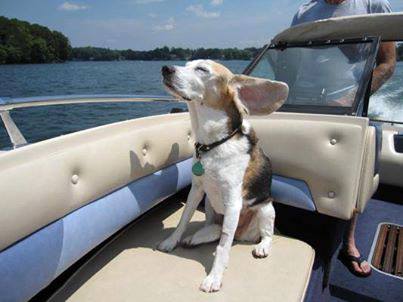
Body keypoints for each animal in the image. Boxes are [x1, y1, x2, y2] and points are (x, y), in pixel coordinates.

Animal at [159, 59, 290, 292]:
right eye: (187, 64)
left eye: (202, 69)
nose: (166, 68)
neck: (212, 145)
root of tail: (241, 235)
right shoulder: (196, 190)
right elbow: (184, 220)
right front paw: (171, 241)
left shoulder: (233, 202)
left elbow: (223, 247)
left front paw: (214, 277)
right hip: (210, 204)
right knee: (218, 230)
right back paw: (197, 236)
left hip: (266, 208)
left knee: (262, 234)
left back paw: (262, 246)